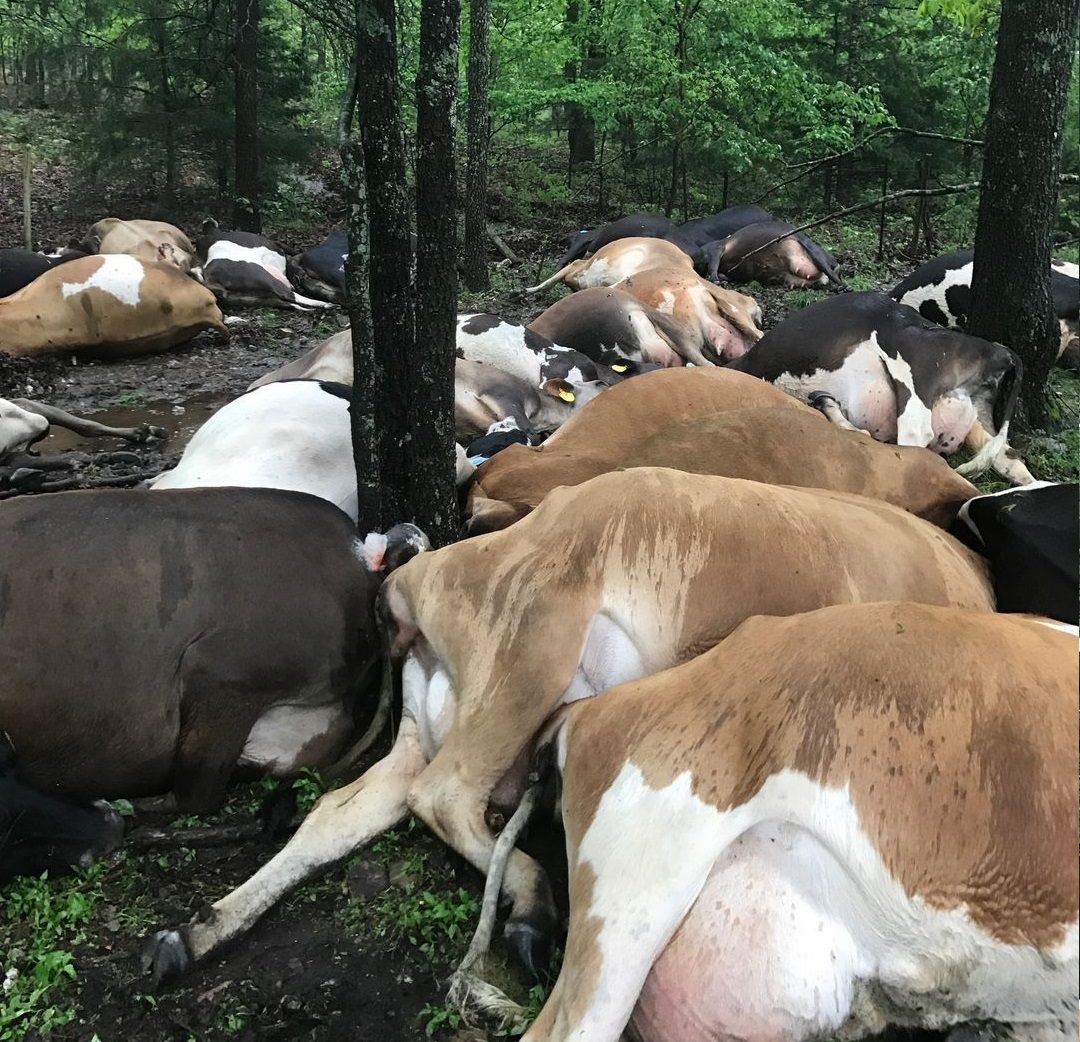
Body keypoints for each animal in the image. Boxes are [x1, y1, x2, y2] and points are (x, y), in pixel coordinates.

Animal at [141, 469, 993, 986]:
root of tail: (414, 581)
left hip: (429, 725)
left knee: (340, 813)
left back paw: (194, 935)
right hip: (531, 655)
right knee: (444, 797)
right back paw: (531, 910)